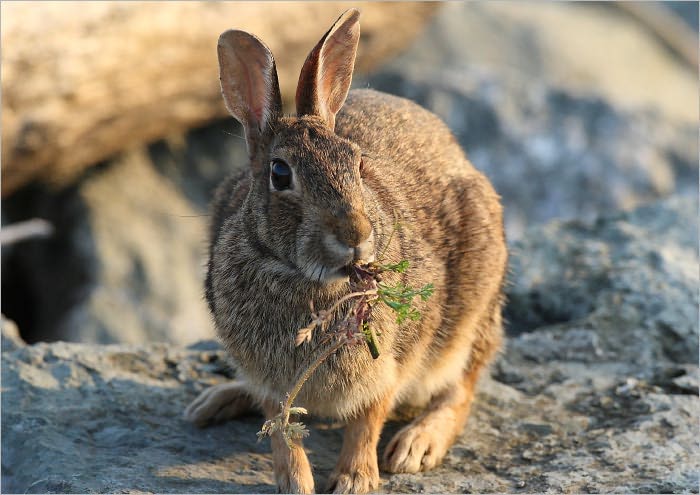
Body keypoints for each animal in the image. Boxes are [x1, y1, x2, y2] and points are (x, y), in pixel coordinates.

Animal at [184, 8, 507, 494]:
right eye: (280, 174)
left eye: (357, 162)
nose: (356, 235)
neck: (306, 280)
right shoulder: (270, 378)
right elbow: (280, 427)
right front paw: (295, 484)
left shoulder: (388, 365)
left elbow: (368, 420)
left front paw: (356, 480)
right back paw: (212, 402)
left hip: (472, 310)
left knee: (462, 386)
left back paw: (416, 445)